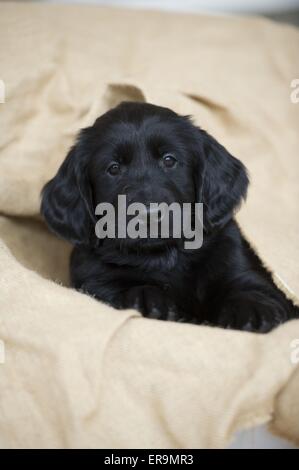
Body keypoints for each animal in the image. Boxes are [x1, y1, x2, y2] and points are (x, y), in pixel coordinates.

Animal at [41, 101, 298, 332]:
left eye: (169, 160)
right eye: (113, 168)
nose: (149, 215)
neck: (165, 256)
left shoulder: (239, 263)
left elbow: (252, 289)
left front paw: (252, 311)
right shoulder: (93, 280)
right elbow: (118, 287)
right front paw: (148, 297)